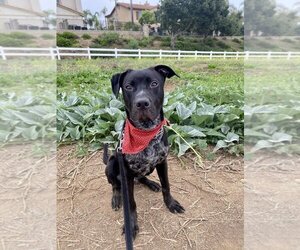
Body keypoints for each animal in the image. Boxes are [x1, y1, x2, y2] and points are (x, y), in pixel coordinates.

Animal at [105, 65, 185, 239]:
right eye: (128, 87)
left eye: (154, 84)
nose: (142, 103)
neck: (146, 132)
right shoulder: (126, 173)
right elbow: (131, 203)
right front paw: (131, 225)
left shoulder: (162, 162)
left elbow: (166, 186)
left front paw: (171, 204)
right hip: (112, 164)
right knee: (115, 185)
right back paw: (116, 198)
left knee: (141, 177)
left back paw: (151, 184)